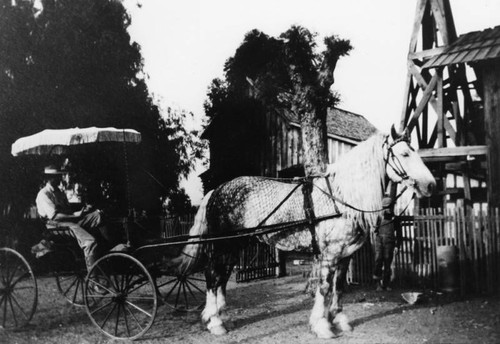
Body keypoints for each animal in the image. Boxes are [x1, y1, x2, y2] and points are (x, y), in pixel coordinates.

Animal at [175, 125, 434, 338]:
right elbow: (325, 288)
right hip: (223, 245)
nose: (431, 185)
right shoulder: (329, 255)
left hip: (235, 245)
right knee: (212, 276)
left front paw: (339, 320)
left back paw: (220, 316)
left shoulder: (345, 255)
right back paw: (215, 322)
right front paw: (322, 326)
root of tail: (217, 190)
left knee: (222, 277)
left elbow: (339, 288)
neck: (340, 198)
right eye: (405, 154)